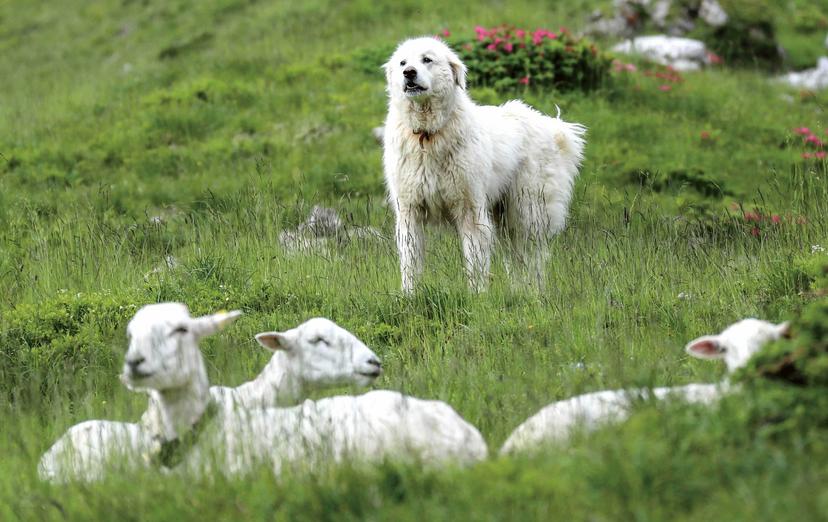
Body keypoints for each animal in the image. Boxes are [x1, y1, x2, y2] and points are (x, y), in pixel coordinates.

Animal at [384, 36, 584, 292]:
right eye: (402, 62)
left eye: (427, 59)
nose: (409, 73)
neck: (429, 135)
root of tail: (551, 125)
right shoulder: (410, 212)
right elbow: (410, 262)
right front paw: (409, 295)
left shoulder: (470, 209)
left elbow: (475, 259)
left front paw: (477, 295)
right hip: (506, 214)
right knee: (516, 258)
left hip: (526, 210)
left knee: (532, 256)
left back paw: (534, 292)